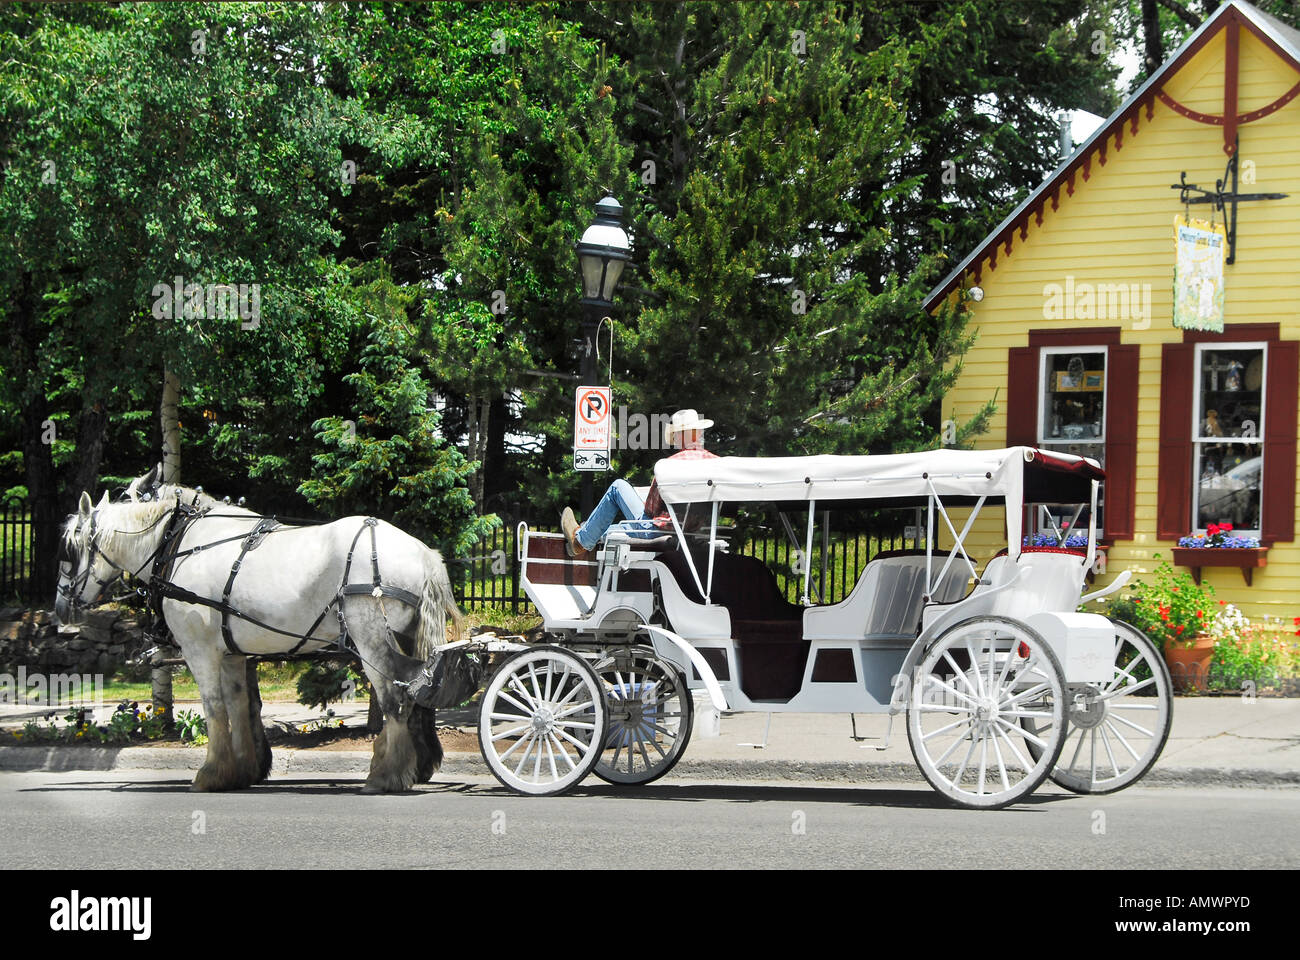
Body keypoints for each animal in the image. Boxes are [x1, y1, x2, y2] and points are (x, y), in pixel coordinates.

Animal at [55, 468, 465, 790]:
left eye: (69, 551)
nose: (61, 606)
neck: (180, 542)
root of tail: (424, 554)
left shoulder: (199, 651)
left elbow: (214, 708)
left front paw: (211, 773)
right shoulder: (233, 654)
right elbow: (240, 706)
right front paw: (242, 771)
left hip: (371, 640)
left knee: (396, 699)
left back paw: (387, 775)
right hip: (406, 639)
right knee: (418, 695)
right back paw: (416, 766)